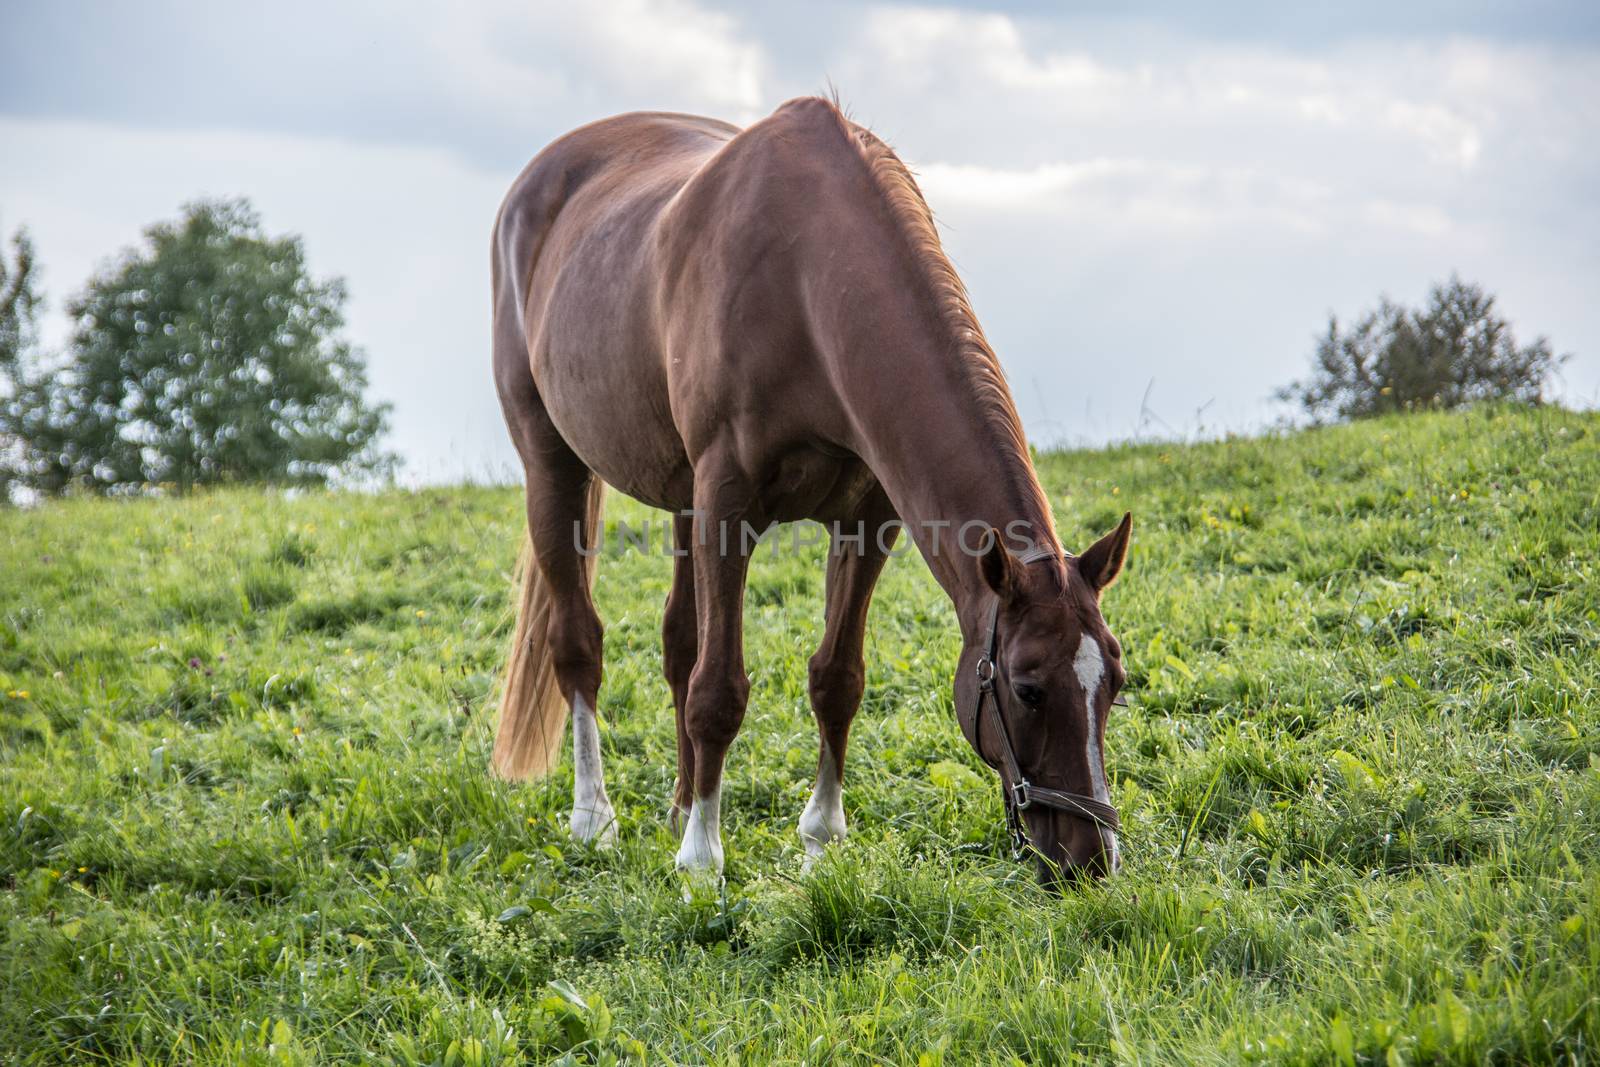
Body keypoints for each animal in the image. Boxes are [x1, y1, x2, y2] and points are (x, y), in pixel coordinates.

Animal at [492, 97, 1132, 883]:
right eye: (1027, 686)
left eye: (1115, 682)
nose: (1091, 858)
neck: (807, 282)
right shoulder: (727, 505)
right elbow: (718, 689)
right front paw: (701, 860)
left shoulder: (866, 521)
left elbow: (836, 678)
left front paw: (821, 839)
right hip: (553, 465)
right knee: (579, 642)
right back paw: (595, 819)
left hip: (680, 495)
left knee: (679, 642)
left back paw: (678, 803)